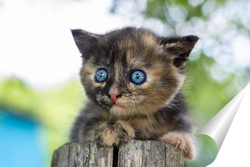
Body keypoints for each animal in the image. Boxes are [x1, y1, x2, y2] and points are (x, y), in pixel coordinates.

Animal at [69, 26, 198, 160]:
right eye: (101, 75)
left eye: (137, 76)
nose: (113, 94)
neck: (138, 118)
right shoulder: (84, 121)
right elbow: (87, 127)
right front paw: (112, 128)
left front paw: (180, 138)